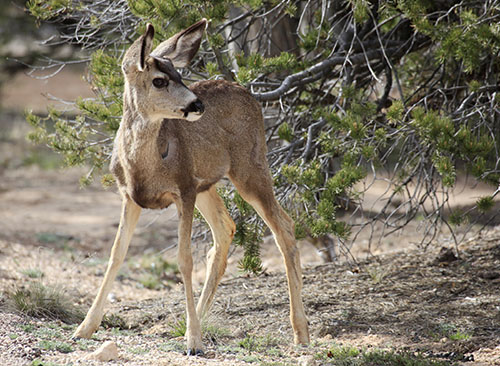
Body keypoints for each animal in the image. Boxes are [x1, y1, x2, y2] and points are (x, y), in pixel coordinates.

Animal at [71, 17, 308, 354]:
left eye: (181, 74)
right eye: (159, 80)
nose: (197, 104)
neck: (144, 166)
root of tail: (246, 91)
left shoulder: (183, 189)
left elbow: (184, 260)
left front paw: (194, 341)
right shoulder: (130, 196)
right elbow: (116, 254)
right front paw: (84, 328)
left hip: (250, 168)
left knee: (284, 227)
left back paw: (300, 333)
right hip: (207, 184)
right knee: (226, 228)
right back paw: (195, 320)